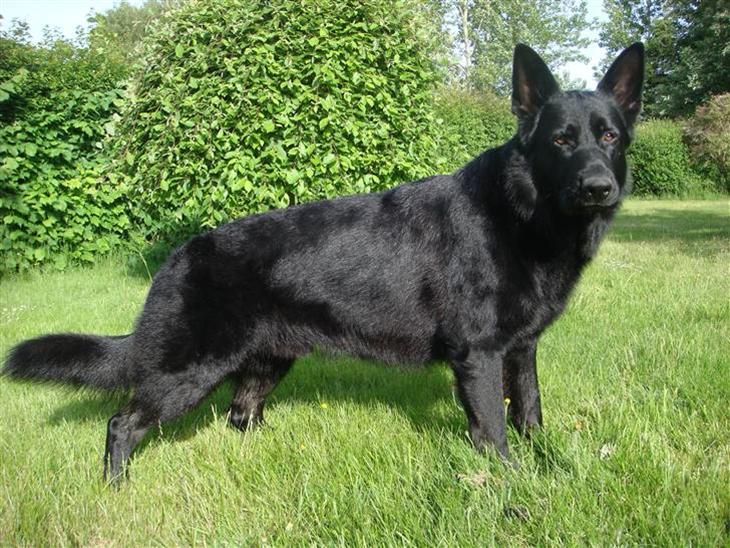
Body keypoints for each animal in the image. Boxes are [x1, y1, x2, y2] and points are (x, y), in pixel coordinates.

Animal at [4, 43, 644, 483]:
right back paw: (116, 485)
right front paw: (510, 487)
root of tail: (179, 255)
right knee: (123, 423)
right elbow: (493, 432)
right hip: (189, 373)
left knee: (240, 416)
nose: (598, 187)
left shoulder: (521, 350)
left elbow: (530, 414)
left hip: (265, 364)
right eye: (560, 141)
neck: (522, 215)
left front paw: (550, 467)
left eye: (609, 137)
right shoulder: (480, 355)